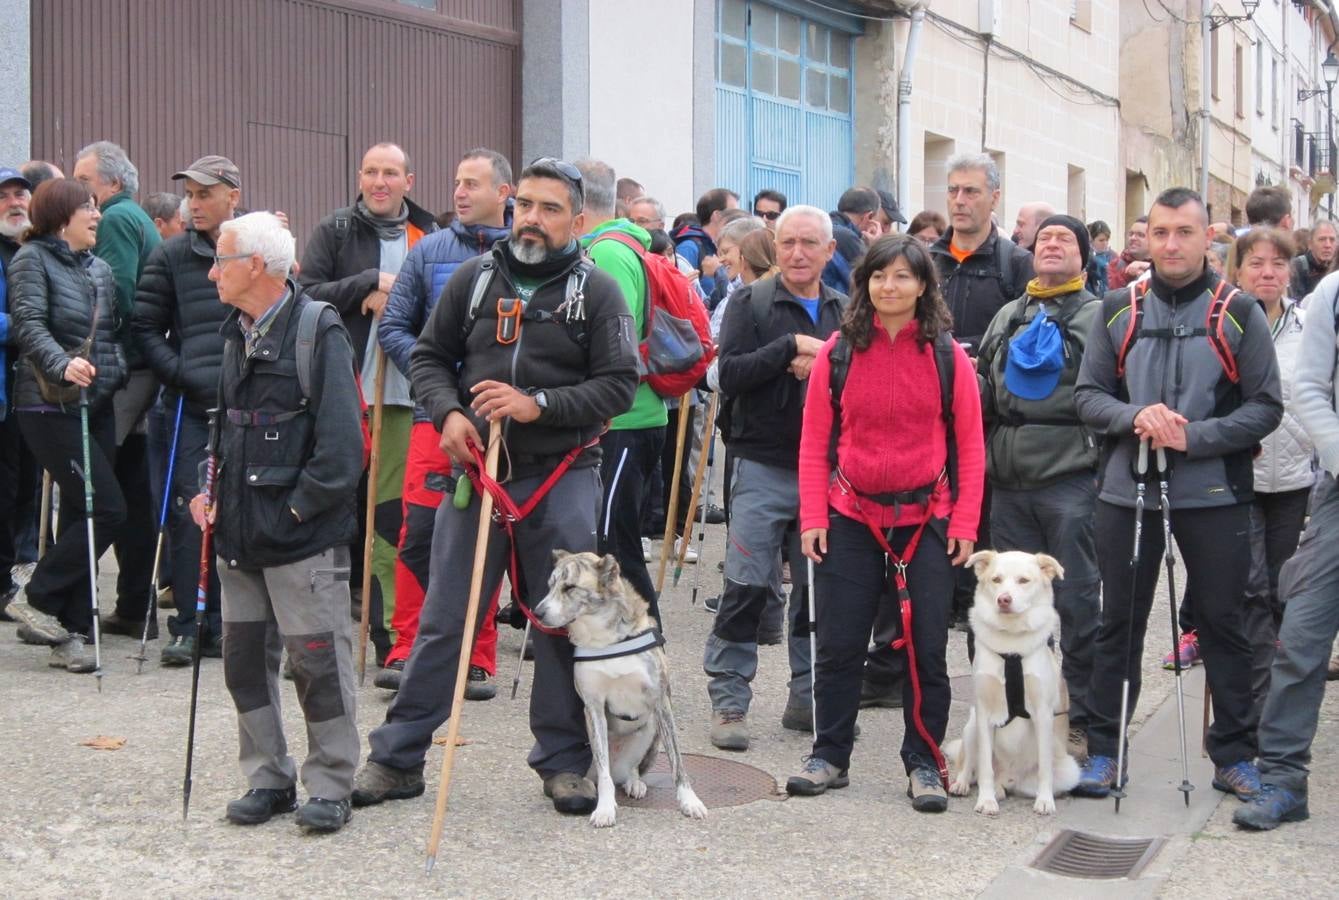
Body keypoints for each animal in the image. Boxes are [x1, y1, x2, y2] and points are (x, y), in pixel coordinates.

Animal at [530, 549, 712, 830]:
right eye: (550, 587)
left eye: (569, 587)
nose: (536, 613)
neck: (606, 640)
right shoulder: (593, 708)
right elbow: (604, 773)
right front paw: (605, 809)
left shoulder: (661, 702)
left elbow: (678, 762)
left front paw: (689, 801)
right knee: (603, 773)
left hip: (650, 732)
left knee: (632, 769)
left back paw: (634, 783)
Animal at [948, 549, 1081, 814]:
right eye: (996, 580)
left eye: (1023, 580)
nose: (1004, 600)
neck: (1011, 649)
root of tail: (1009, 778)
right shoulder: (984, 713)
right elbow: (985, 767)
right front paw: (986, 801)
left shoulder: (1043, 714)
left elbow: (1044, 769)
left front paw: (1045, 801)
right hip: (972, 727)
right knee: (970, 764)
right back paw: (964, 784)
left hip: (1070, 770)